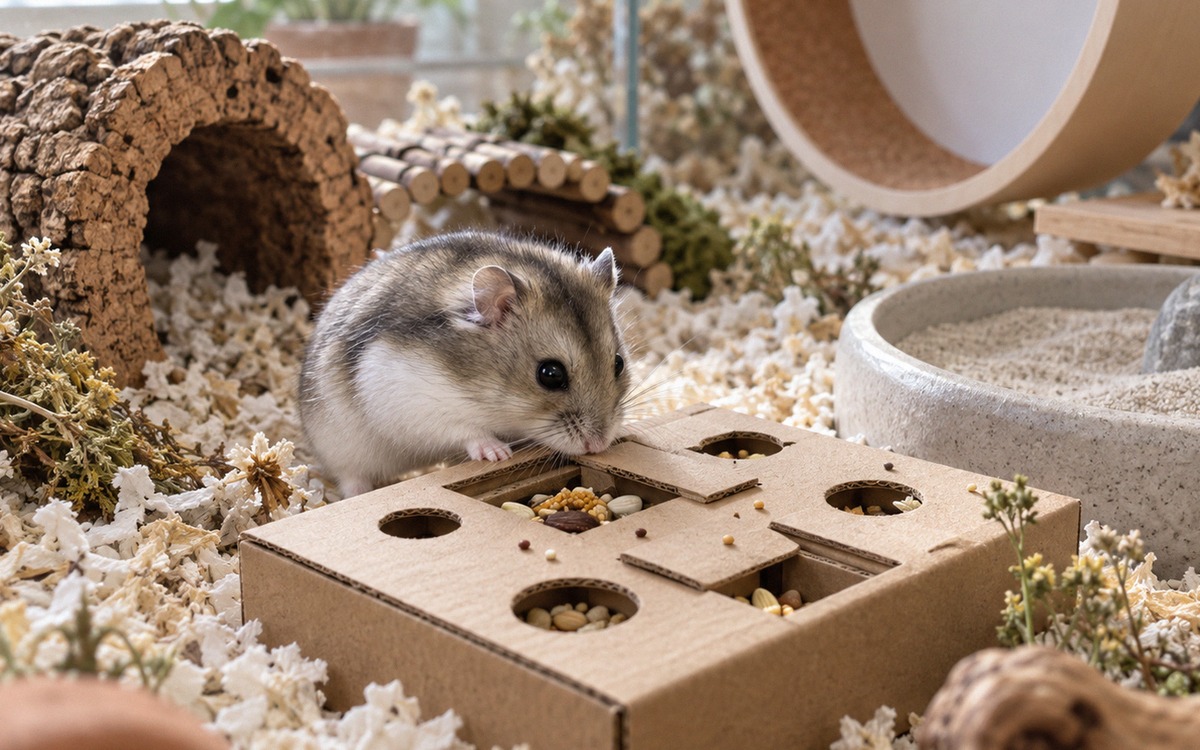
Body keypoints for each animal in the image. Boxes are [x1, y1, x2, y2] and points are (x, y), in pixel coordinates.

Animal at [299, 229, 632, 497]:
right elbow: (465, 430)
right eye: (550, 374)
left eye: (618, 363)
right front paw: (498, 453)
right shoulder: (409, 399)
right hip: (342, 448)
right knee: (351, 479)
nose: (599, 444)